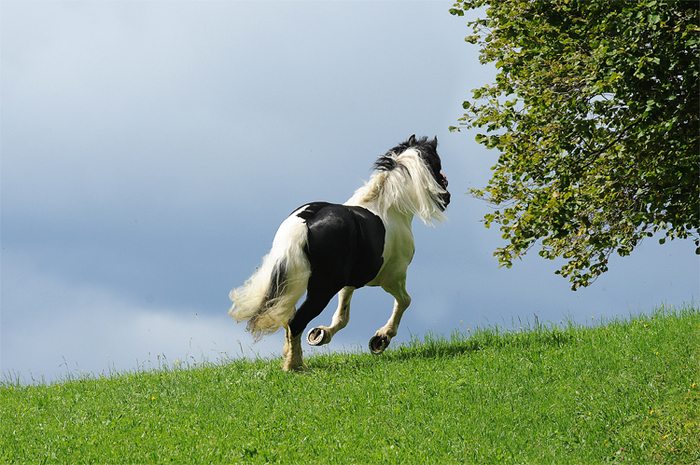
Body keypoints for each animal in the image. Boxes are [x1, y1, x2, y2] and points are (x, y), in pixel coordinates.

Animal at [227, 134, 452, 370]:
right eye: (437, 165)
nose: (447, 198)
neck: (390, 207)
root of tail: (305, 222)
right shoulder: (393, 277)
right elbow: (405, 301)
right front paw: (381, 339)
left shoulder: (349, 284)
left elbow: (342, 317)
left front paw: (320, 334)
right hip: (323, 288)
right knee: (296, 320)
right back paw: (296, 366)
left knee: (291, 320)